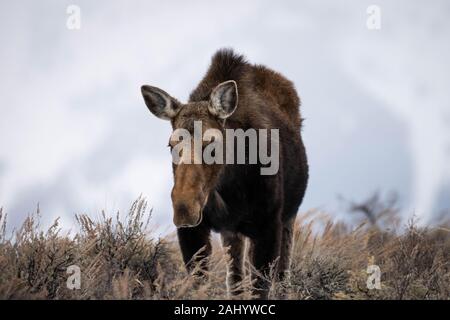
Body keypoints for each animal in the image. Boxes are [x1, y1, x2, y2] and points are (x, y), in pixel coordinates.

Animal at [142, 48, 308, 298]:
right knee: (236, 278)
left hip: (288, 215)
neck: (229, 186)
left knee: (282, 276)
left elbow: (261, 289)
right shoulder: (194, 231)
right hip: (232, 233)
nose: (184, 207)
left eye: (212, 143)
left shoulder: (268, 225)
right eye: (171, 145)